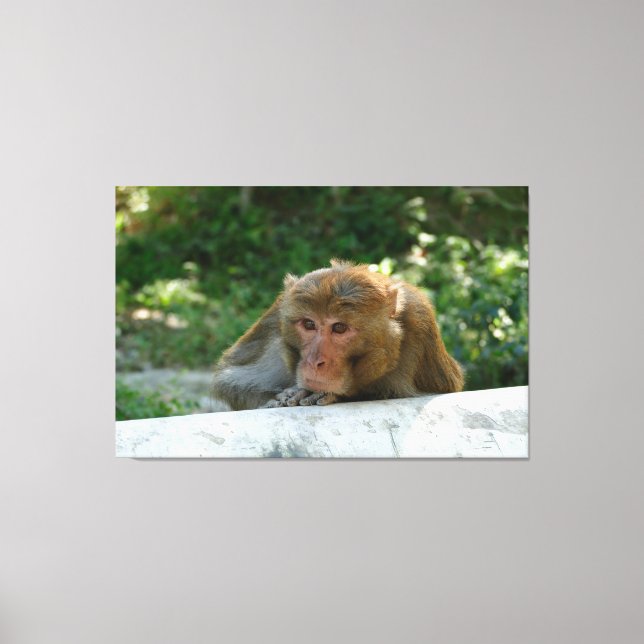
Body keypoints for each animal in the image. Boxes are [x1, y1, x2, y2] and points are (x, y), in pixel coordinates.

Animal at [212, 260, 464, 411]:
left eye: (340, 328)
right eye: (309, 324)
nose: (315, 361)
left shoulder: (419, 321)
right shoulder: (275, 319)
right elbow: (231, 381)